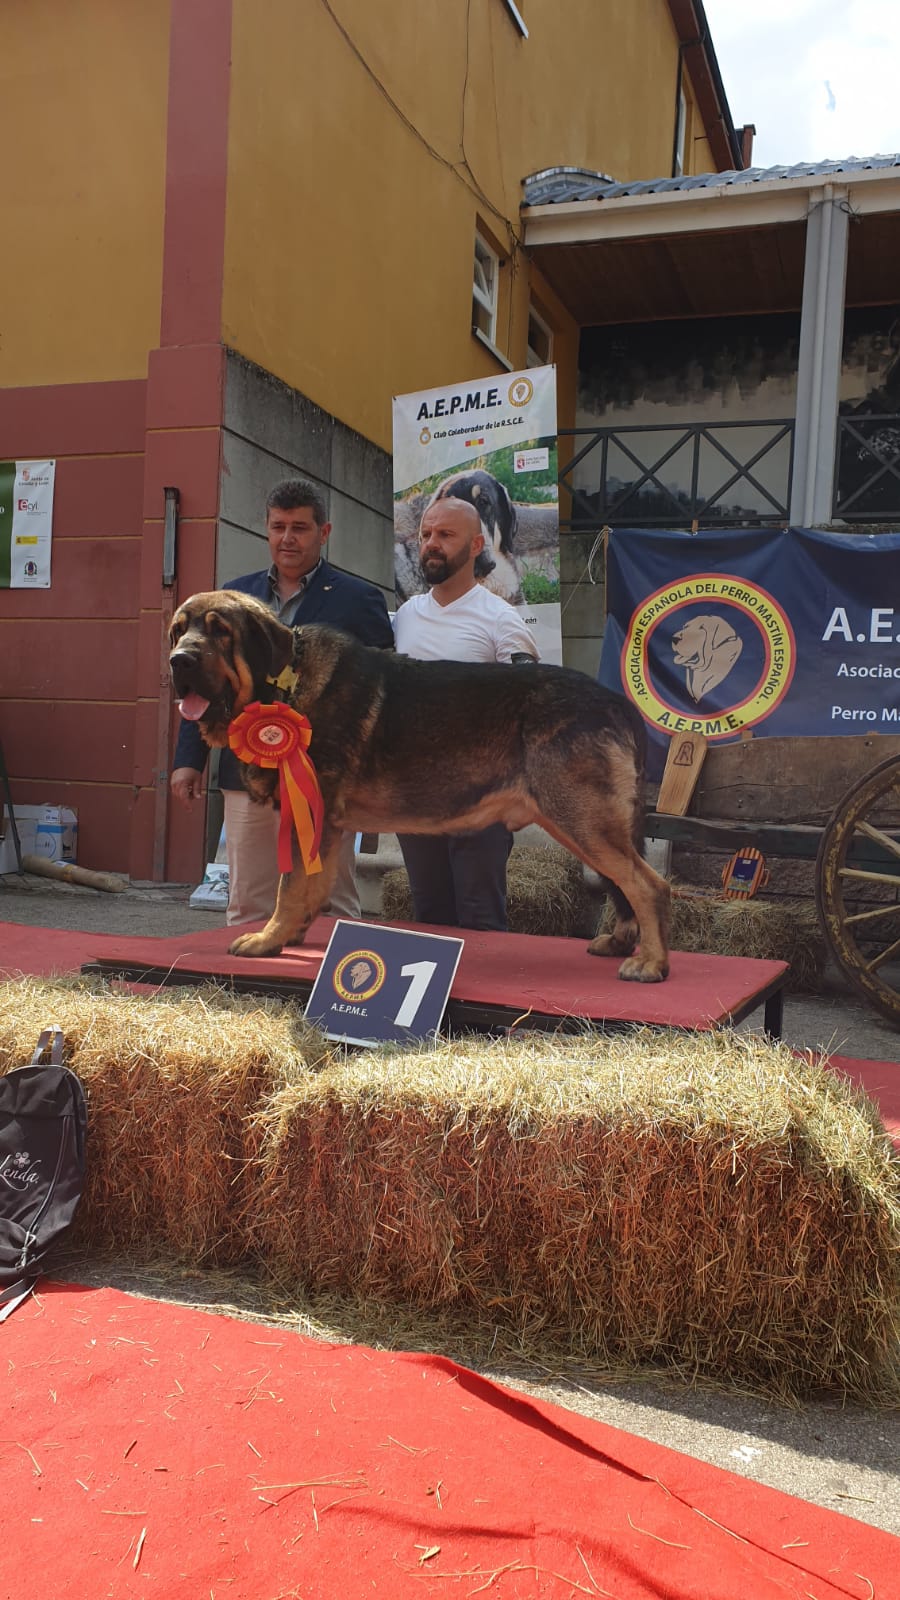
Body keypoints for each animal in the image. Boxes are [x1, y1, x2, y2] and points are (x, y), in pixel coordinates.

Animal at [169, 595, 666, 979]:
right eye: (178, 631)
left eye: (220, 633)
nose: (180, 660)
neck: (282, 684)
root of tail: (616, 702)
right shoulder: (324, 824)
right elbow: (312, 884)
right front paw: (290, 937)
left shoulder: (310, 812)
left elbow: (289, 887)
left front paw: (267, 940)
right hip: (581, 824)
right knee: (624, 882)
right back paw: (622, 944)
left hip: (580, 818)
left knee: (647, 884)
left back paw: (652, 964)